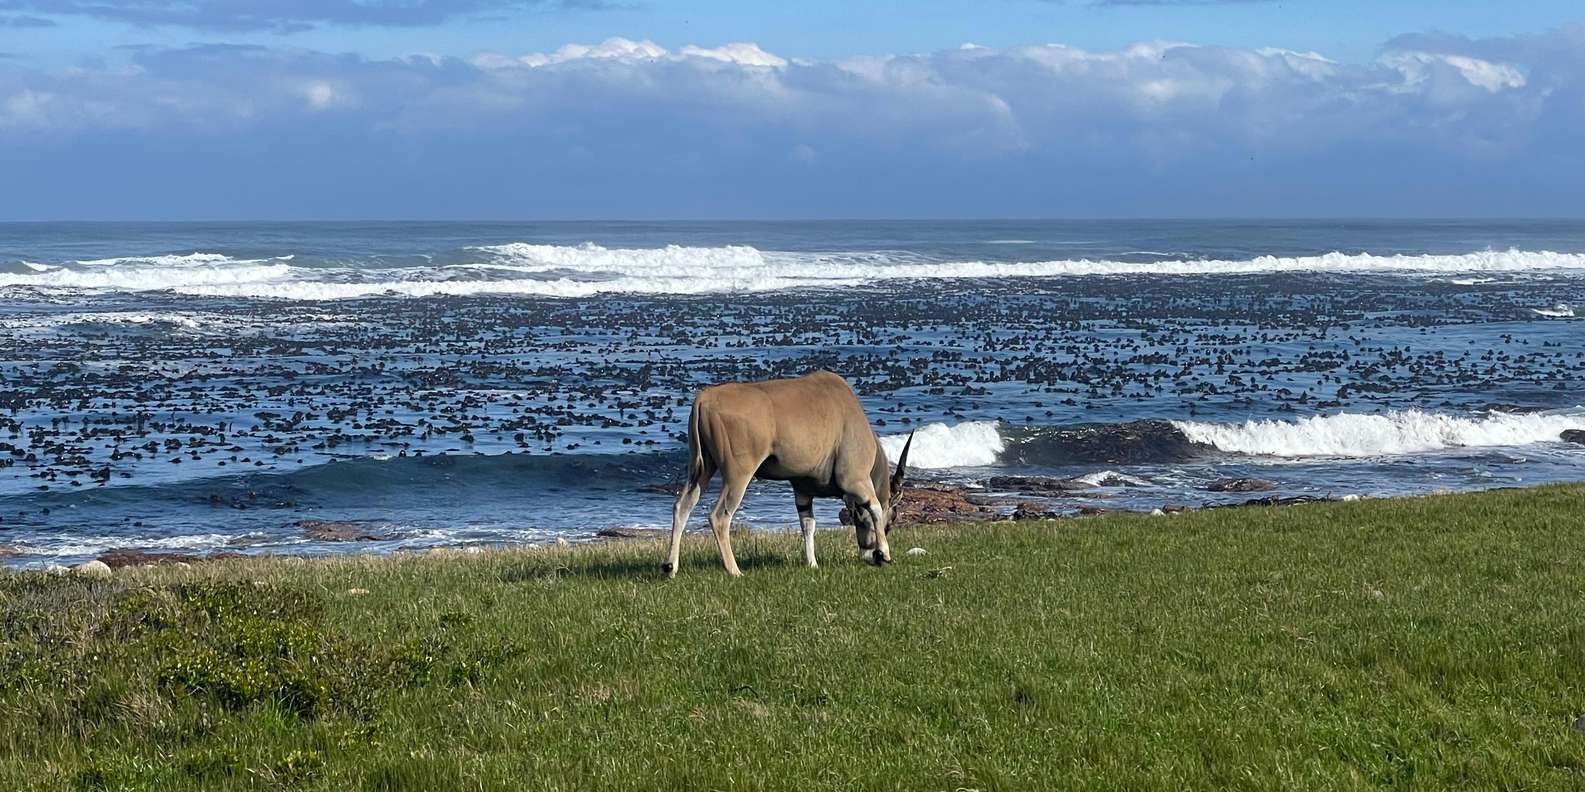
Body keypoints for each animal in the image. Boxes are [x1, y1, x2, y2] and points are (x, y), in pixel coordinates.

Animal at [665, 370, 919, 576]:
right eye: (892, 520)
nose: (869, 555)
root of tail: (705, 398)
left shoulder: (802, 490)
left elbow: (808, 524)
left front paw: (812, 564)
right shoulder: (854, 480)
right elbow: (874, 506)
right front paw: (885, 554)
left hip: (701, 469)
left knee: (682, 505)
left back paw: (670, 567)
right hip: (737, 475)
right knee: (719, 517)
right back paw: (734, 570)